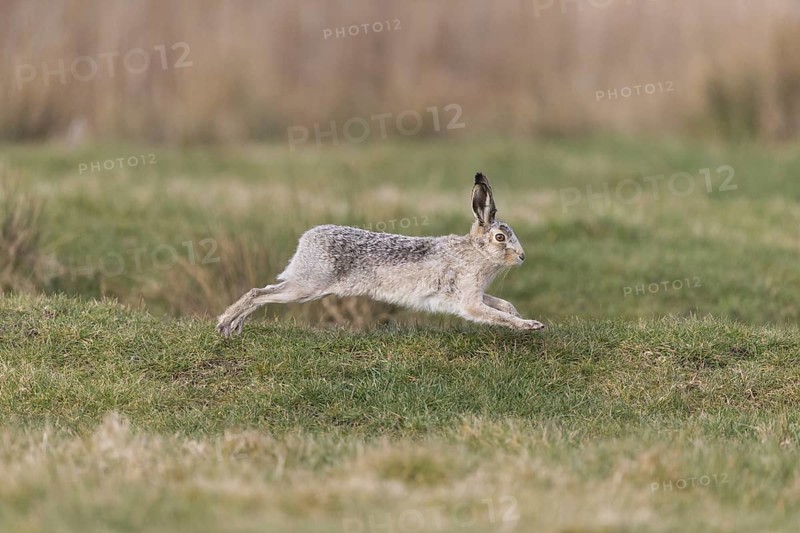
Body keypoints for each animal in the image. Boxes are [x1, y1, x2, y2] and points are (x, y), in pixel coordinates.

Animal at [216, 172, 545, 337]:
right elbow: (492, 315)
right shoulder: (468, 300)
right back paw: (226, 324)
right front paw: (531, 325)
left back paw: (234, 325)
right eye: (500, 237)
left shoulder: (476, 293)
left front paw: (517, 313)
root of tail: (306, 240)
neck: (476, 251)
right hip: (308, 286)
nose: (522, 257)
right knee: (259, 293)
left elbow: (501, 304)